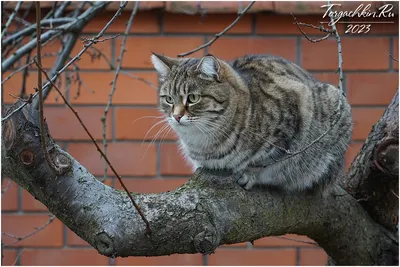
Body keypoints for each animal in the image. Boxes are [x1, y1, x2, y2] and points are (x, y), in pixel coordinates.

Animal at [152, 52, 352, 193]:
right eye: (169, 99)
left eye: (193, 98)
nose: (176, 116)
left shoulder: (292, 115)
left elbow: (264, 160)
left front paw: (249, 173)